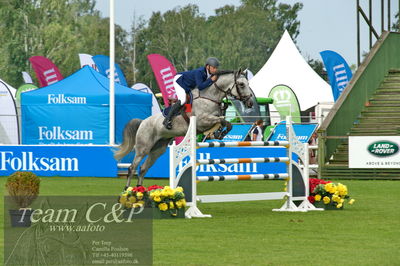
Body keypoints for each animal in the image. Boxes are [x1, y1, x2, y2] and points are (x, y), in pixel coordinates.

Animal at [114, 69, 252, 188]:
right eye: (241, 84)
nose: (250, 102)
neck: (209, 97)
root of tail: (142, 122)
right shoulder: (202, 121)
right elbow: (222, 121)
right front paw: (219, 134)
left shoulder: (211, 120)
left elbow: (226, 123)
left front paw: (218, 134)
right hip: (144, 148)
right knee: (132, 168)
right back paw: (127, 192)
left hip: (158, 150)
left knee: (143, 169)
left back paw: (141, 192)